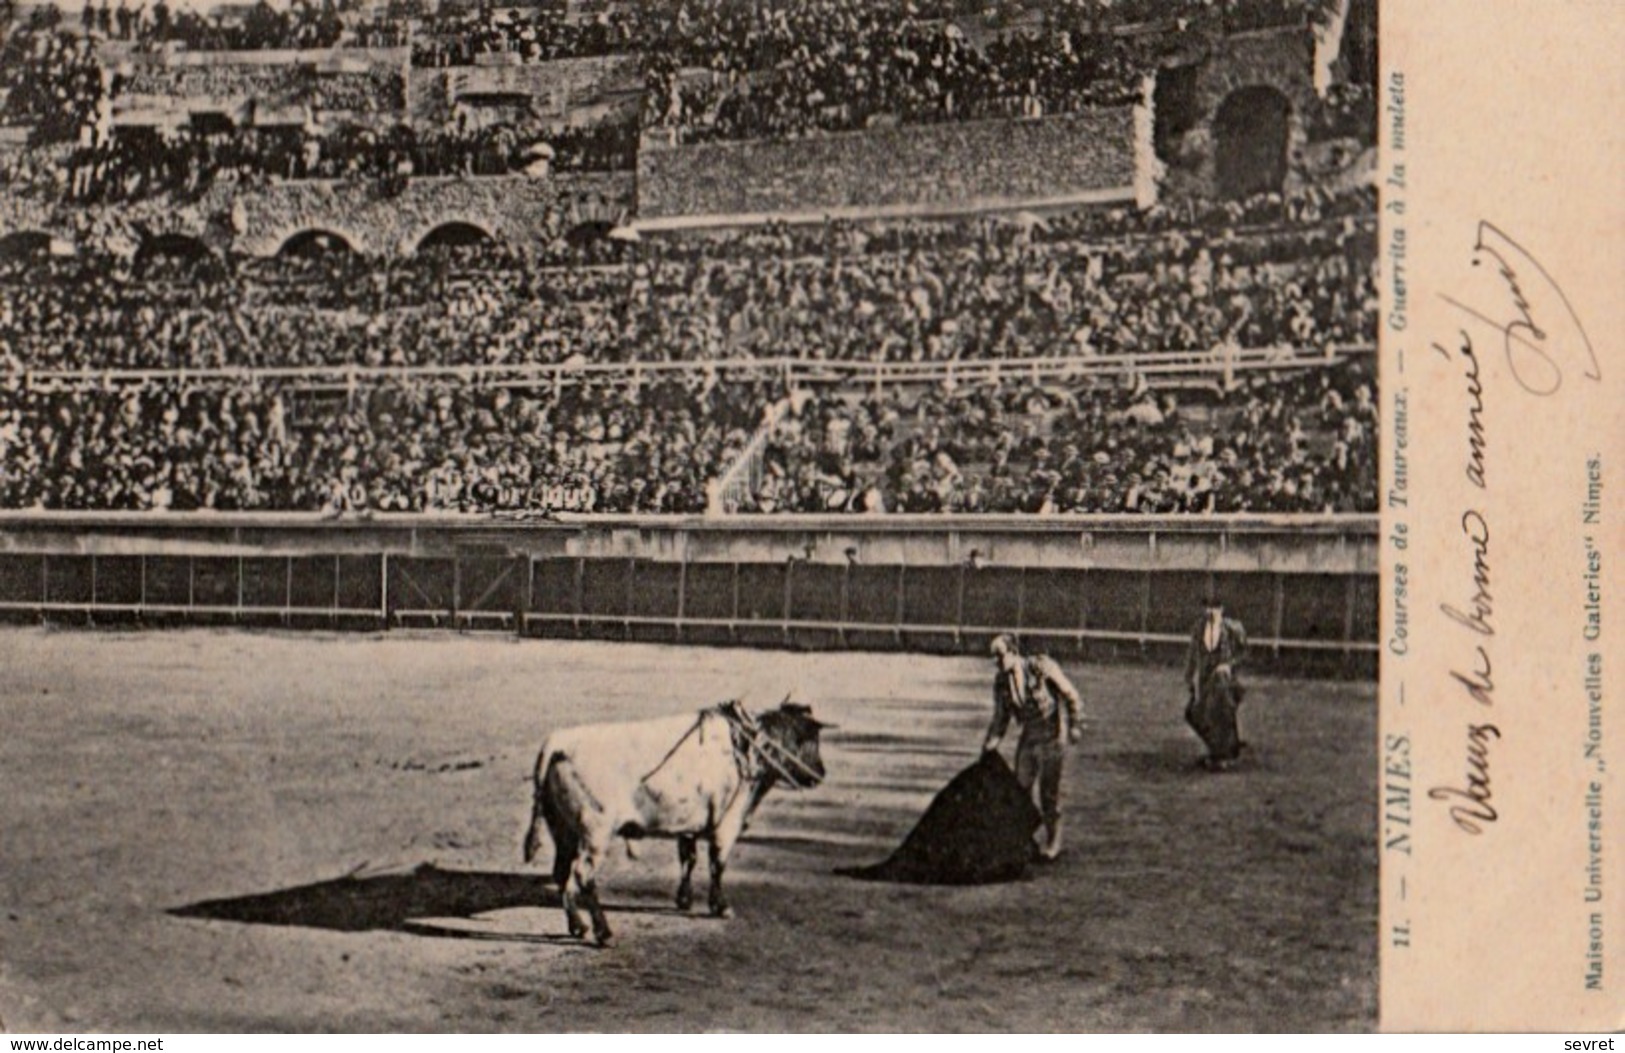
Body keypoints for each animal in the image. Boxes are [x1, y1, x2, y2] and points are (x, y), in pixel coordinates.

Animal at [520, 698, 825, 949]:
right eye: (809, 740)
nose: (820, 774)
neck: (745, 747)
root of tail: (559, 743)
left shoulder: (687, 825)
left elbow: (688, 859)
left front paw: (684, 900)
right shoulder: (727, 824)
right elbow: (717, 864)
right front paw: (721, 907)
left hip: (563, 831)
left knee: (561, 872)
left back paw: (578, 926)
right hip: (595, 833)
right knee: (583, 874)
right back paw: (603, 933)